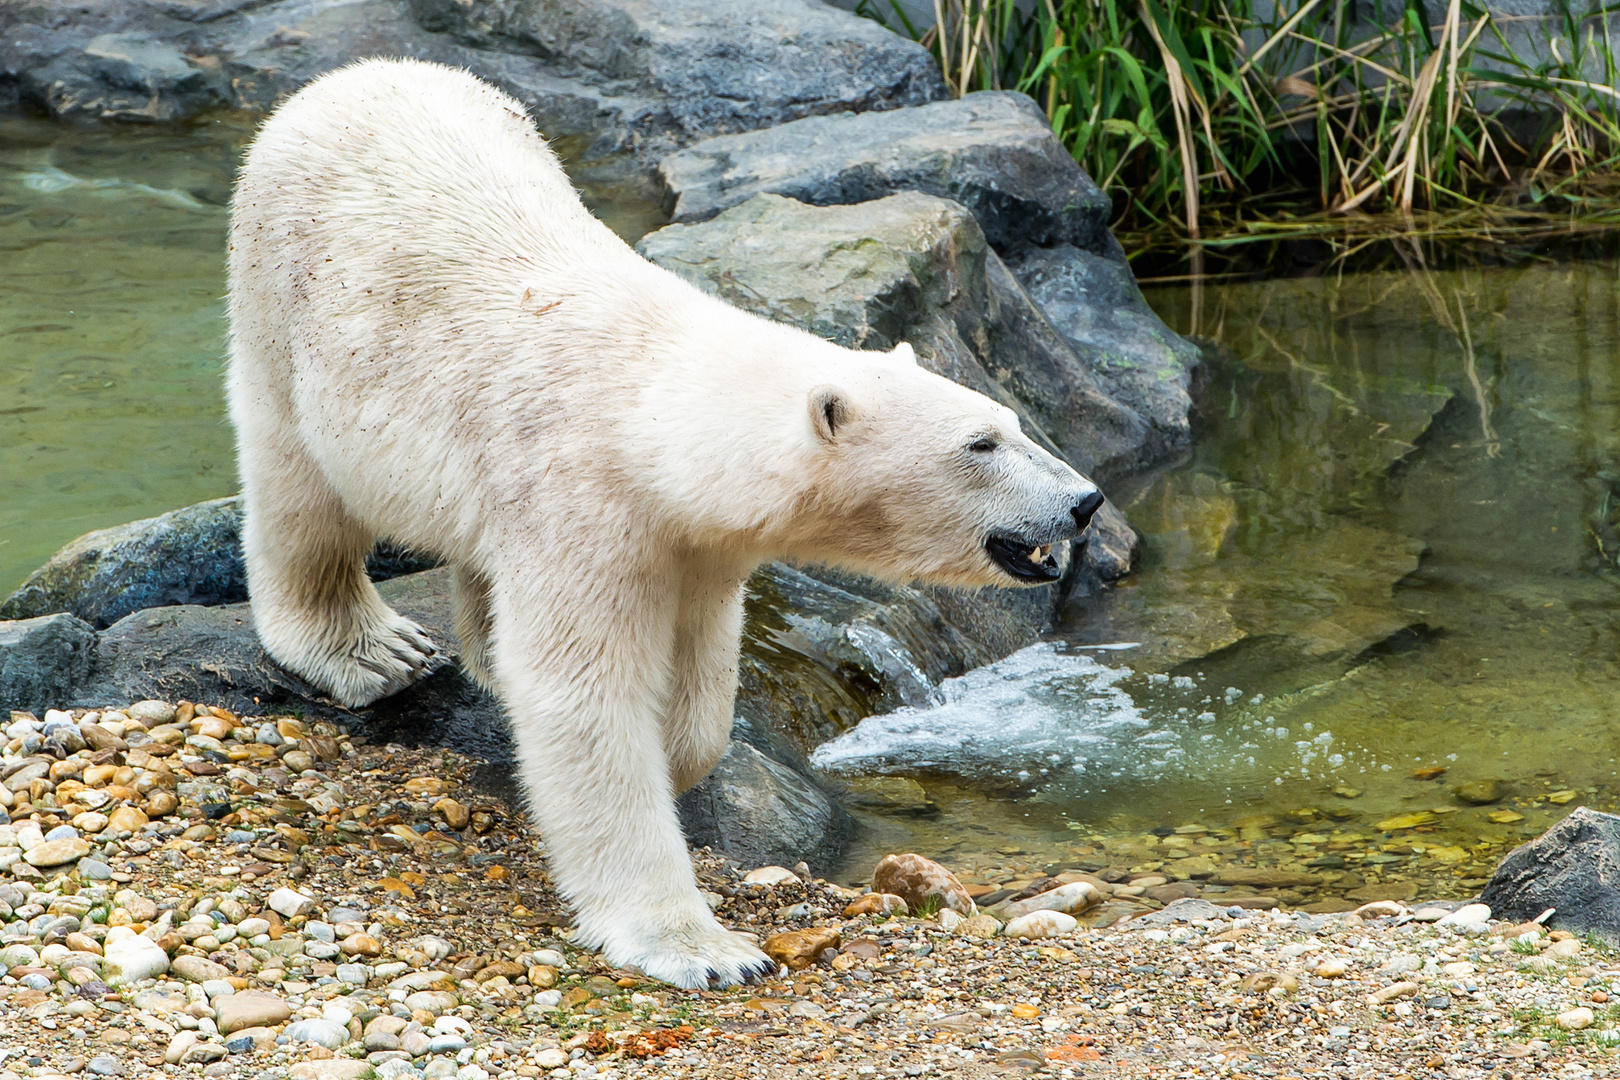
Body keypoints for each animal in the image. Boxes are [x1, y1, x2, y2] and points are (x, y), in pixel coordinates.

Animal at [228, 57, 1108, 990]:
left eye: (1011, 420)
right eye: (981, 443)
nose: (1083, 500)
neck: (652, 417)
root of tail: (353, 75)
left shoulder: (695, 545)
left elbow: (699, 680)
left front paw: (678, 753)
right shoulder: (580, 501)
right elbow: (587, 702)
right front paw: (701, 948)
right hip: (282, 296)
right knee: (298, 486)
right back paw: (366, 648)